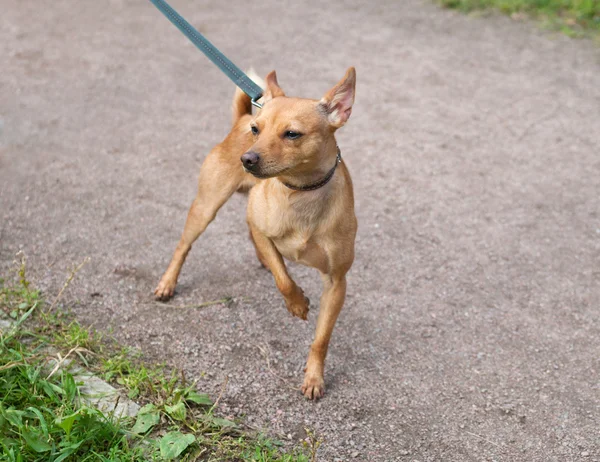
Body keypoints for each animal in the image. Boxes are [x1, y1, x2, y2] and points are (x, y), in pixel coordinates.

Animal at [157, 68, 358, 400]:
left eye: (292, 134)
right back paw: (167, 283)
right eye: (257, 130)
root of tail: (240, 118)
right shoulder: (265, 234)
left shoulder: (336, 283)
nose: (247, 159)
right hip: (205, 209)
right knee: (184, 247)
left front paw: (314, 377)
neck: (300, 193)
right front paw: (298, 303)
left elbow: (321, 339)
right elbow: (284, 281)